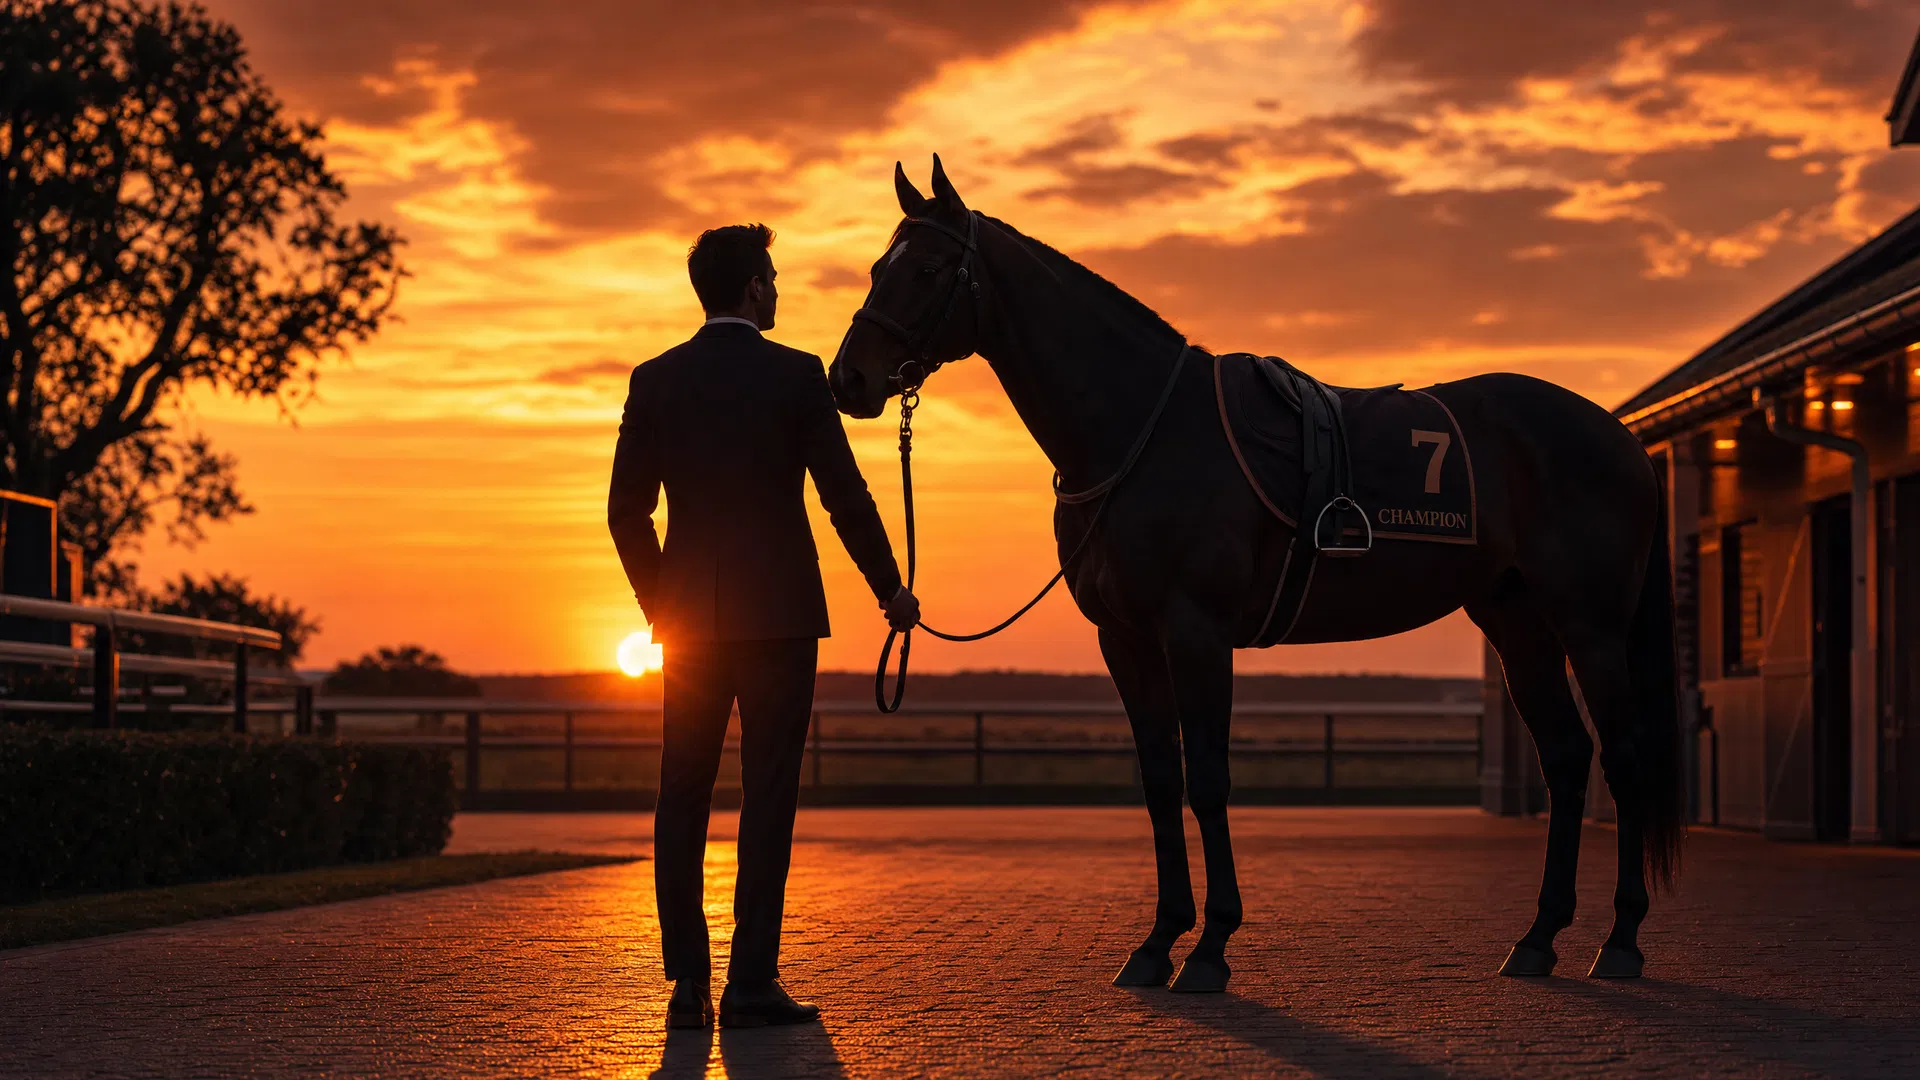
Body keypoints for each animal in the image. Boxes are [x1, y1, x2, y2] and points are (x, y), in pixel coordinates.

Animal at [827, 156, 1684, 991]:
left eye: (930, 267)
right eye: (876, 266)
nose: (849, 380)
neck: (1141, 432)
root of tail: (1621, 435)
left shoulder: (1196, 632)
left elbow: (1207, 776)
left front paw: (1210, 947)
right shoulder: (1126, 642)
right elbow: (1159, 781)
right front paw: (1156, 942)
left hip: (1590, 627)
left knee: (1623, 755)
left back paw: (1622, 939)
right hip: (1517, 622)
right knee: (1568, 755)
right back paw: (1538, 937)